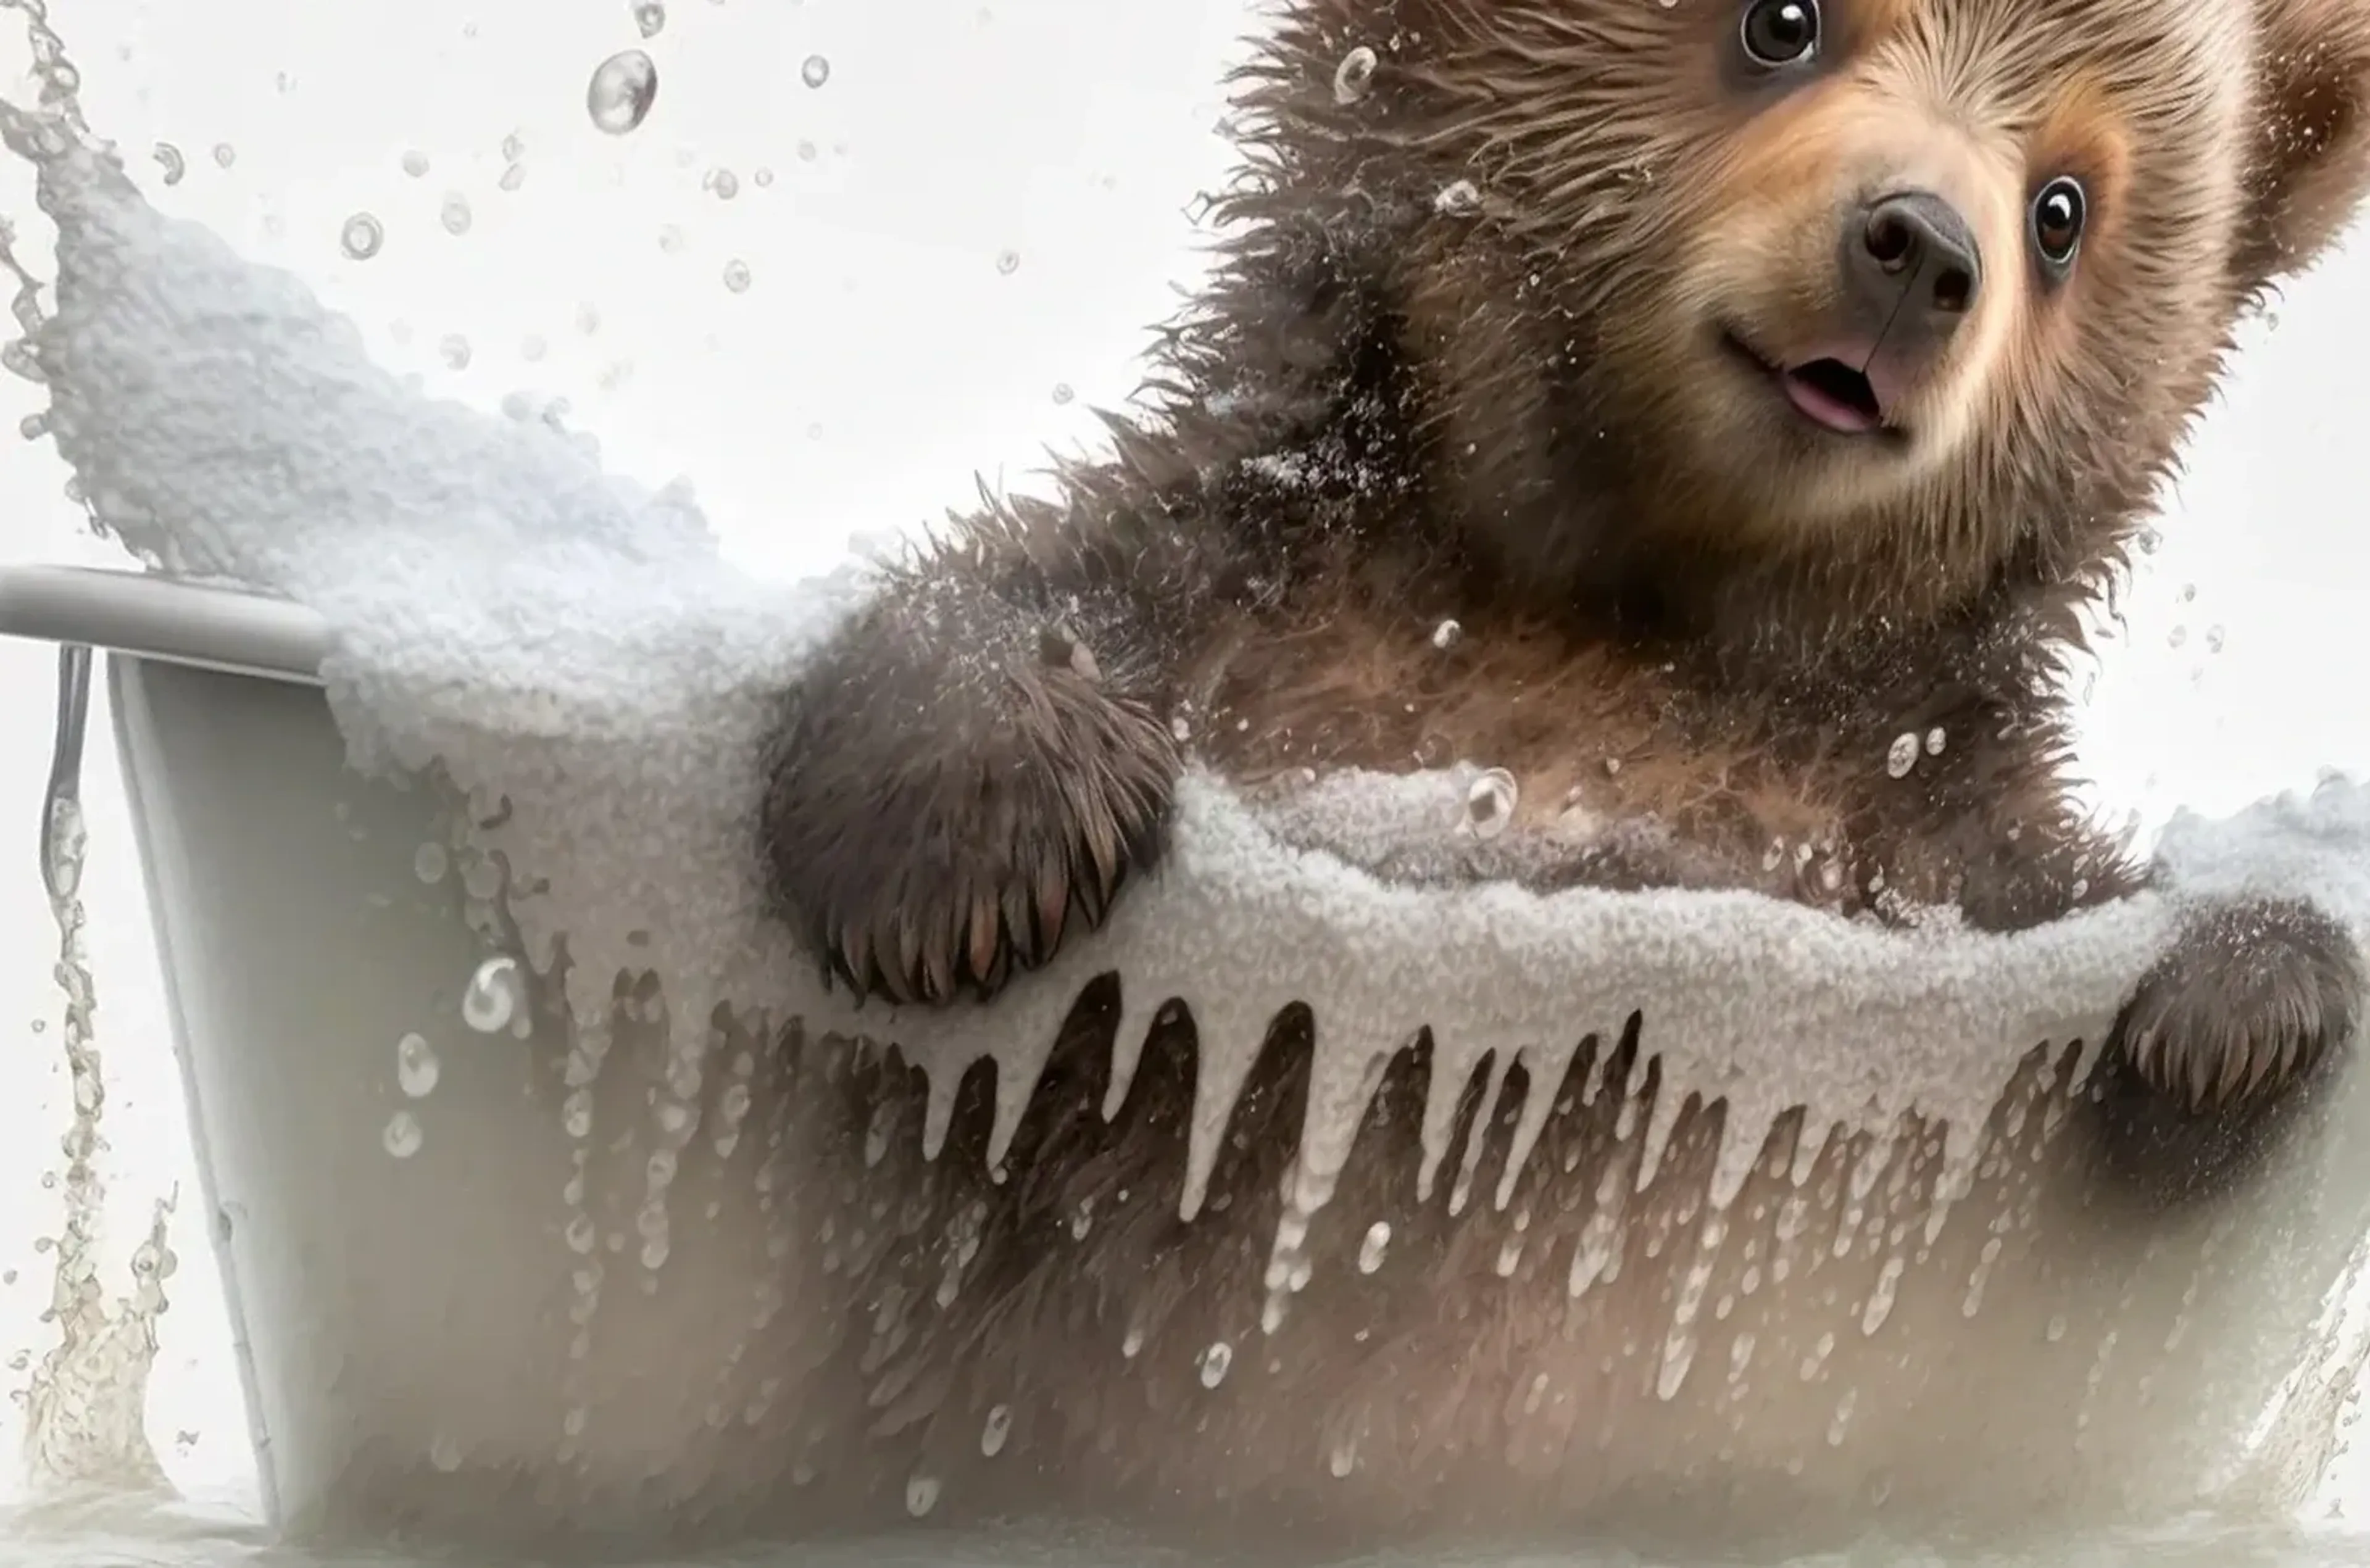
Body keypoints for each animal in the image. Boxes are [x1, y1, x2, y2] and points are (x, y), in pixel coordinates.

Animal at [741, 0, 2370, 1545]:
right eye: (1782, 23)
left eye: (2064, 209)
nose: (1917, 251)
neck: (1619, 611)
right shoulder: (1259, 604)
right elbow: (1032, 594)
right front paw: (983, 830)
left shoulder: (1901, 812)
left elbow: (2063, 892)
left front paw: (2239, 1000)